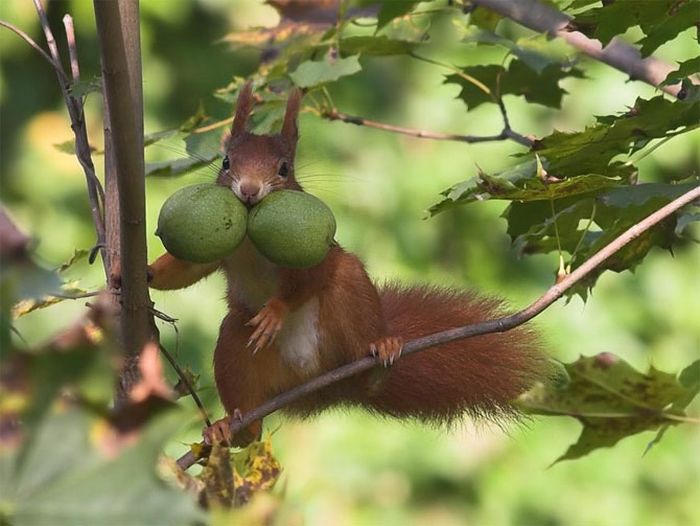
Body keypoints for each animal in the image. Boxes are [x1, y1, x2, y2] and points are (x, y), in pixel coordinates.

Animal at [148, 83, 548, 450]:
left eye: (284, 168)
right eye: (226, 162)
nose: (248, 191)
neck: (248, 234)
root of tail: (316, 381)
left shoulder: (314, 254)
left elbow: (307, 278)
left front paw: (276, 310)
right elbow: (188, 267)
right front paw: (145, 275)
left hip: (348, 306)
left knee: (354, 323)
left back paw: (380, 352)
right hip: (235, 344)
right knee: (250, 428)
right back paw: (228, 428)